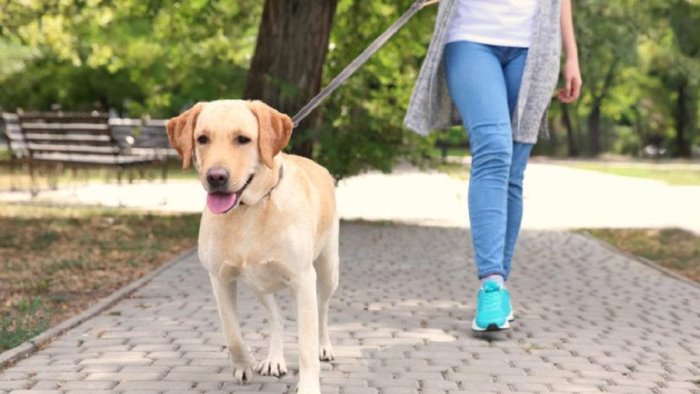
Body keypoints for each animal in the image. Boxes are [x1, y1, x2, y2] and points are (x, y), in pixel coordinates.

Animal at [165, 100, 338, 392]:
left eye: (243, 139)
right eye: (202, 139)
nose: (216, 177)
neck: (250, 209)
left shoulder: (303, 278)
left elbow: (306, 342)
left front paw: (309, 385)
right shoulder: (219, 279)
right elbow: (232, 332)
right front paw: (245, 363)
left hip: (327, 270)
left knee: (323, 309)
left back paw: (324, 346)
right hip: (259, 285)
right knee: (276, 318)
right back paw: (274, 359)